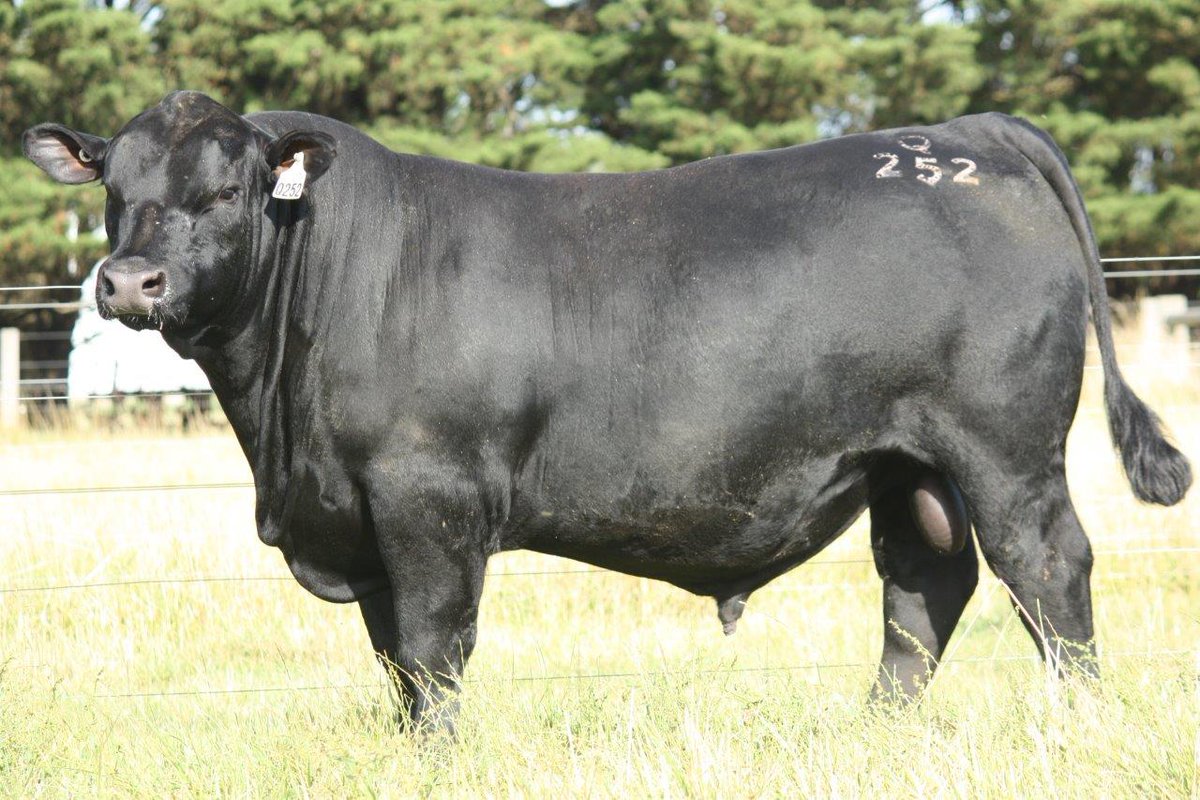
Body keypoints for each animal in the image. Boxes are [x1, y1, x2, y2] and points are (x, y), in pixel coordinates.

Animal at [24, 91, 1191, 733]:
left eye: (225, 193)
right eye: (112, 190)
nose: (128, 282)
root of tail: (970, 135)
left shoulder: (428, 495)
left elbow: (434, 645)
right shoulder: (359, 515)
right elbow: (393, 657)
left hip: (1005, 446)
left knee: (1047, 570)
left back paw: (1076, 721)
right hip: (908, 462)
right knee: (923, 587)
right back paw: (880, 732)